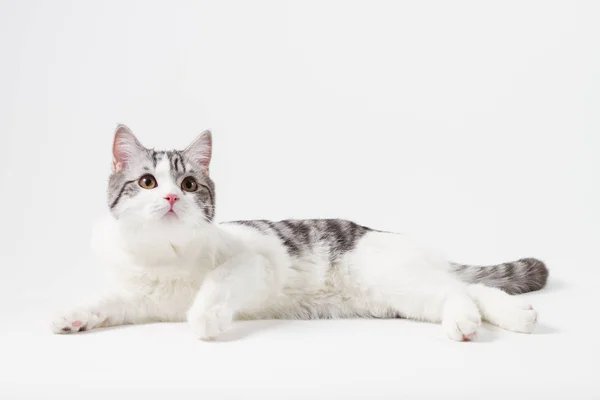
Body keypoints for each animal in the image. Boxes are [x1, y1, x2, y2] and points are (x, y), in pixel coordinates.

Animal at [51, 125, 548, 340]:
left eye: (189, 184)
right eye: (148, 182)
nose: (172, 198)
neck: (165, 255)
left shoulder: (248, 261)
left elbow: (216, 286)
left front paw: (205, 318)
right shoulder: (137, 297)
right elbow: (106, 301)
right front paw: (74, 315)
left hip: (396, 279)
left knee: (461, 292)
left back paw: (468, 324)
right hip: (402, 297)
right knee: (471, 291)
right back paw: (515, 317)